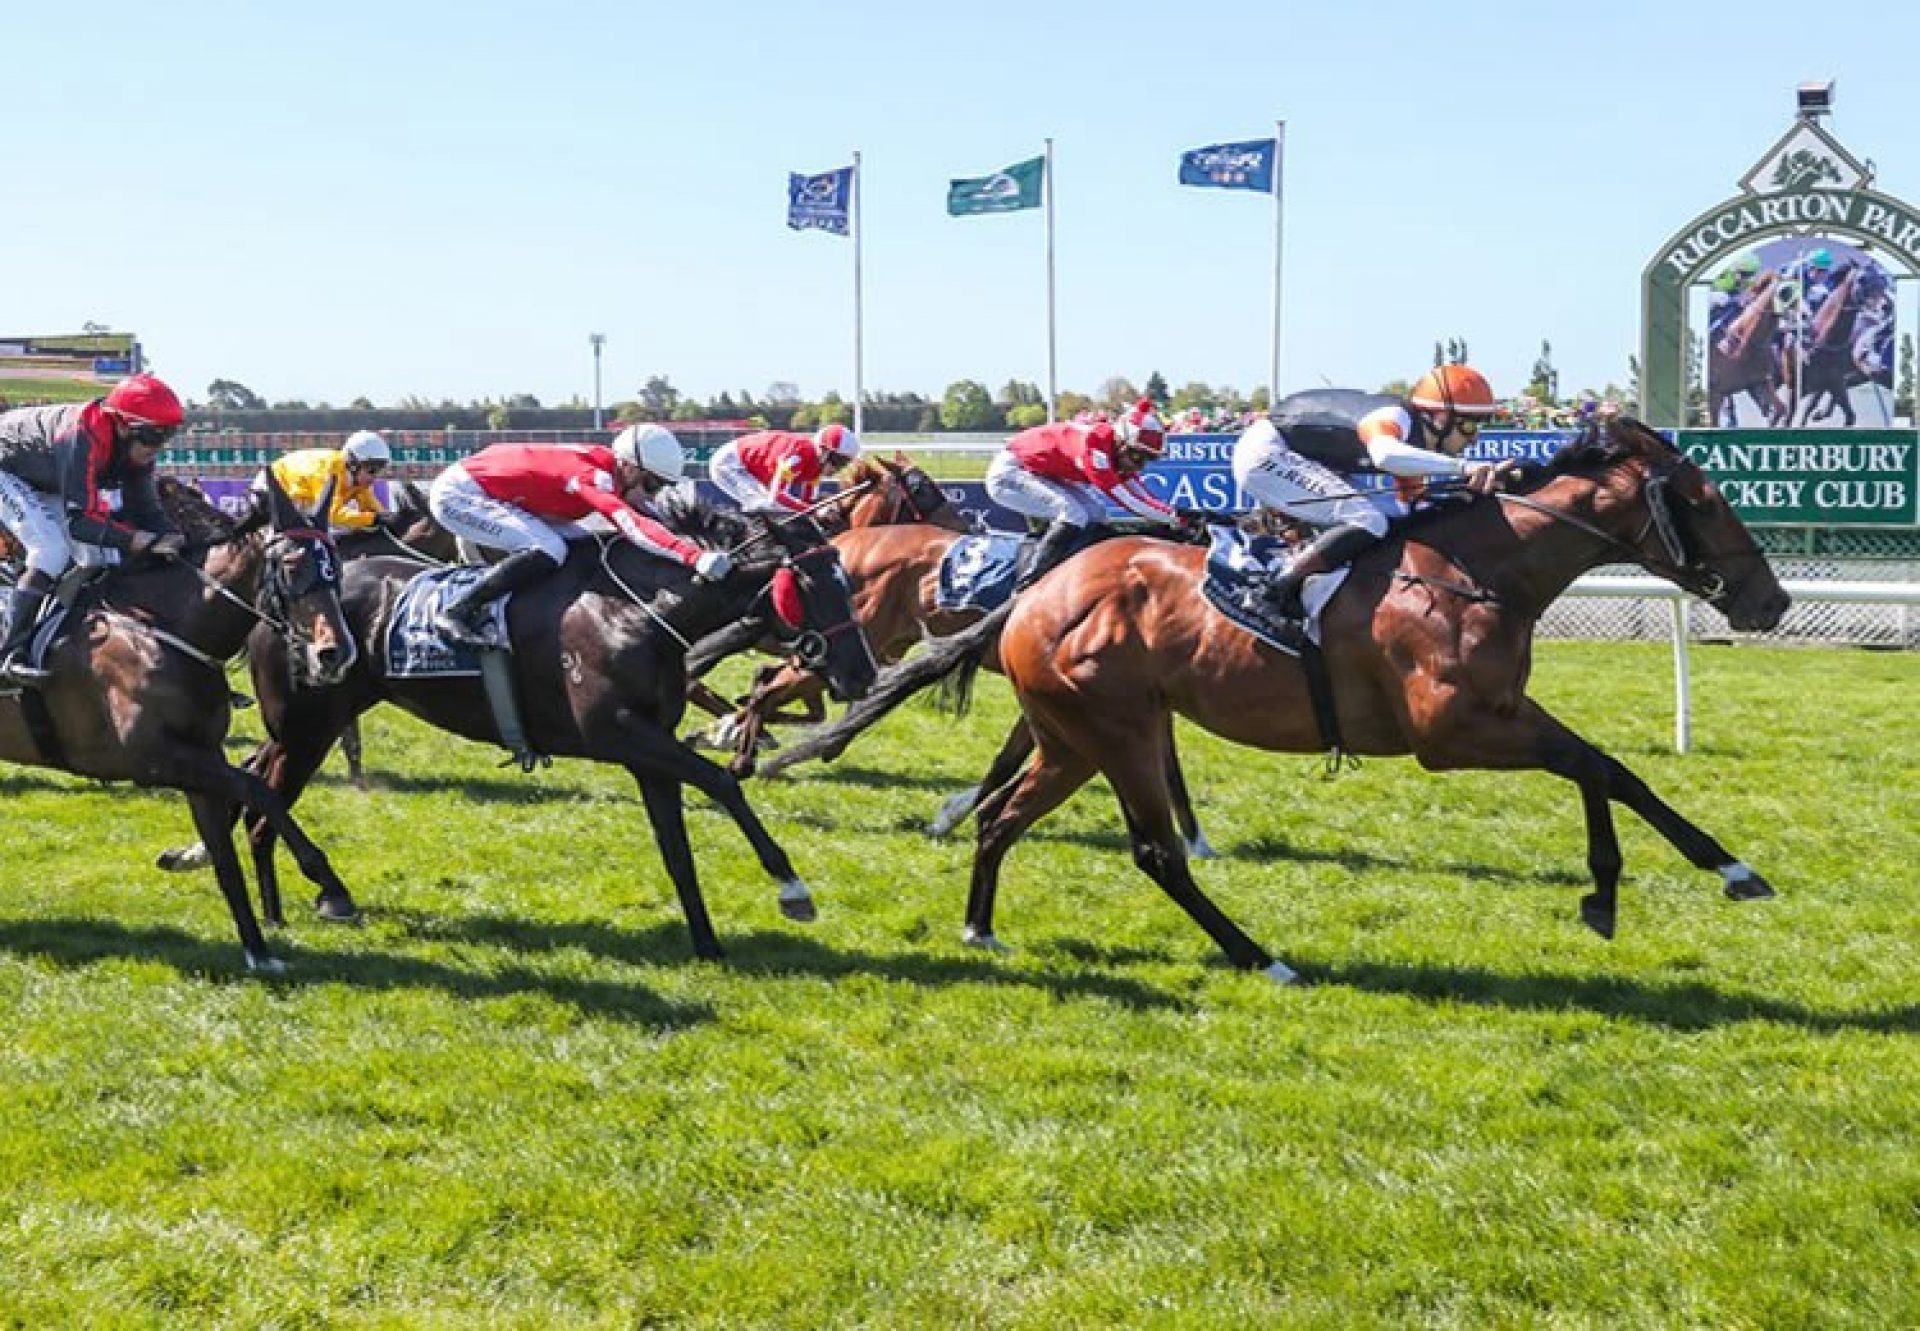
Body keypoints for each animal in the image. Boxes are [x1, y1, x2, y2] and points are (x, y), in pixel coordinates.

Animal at [0, 472, 357, 971]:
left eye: (336, 566)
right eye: (290, 565)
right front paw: (330, 885)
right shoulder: (151, 761)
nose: (335, 653)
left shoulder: (198, 760)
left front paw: (257, 951)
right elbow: (258, 788)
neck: (162, 629)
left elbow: (227, 856)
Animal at [189, 487, 879, 956]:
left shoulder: (647, 748)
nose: (862, 674)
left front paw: (707, 943)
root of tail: (276, 605)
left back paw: (270, 908)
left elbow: (677, 849)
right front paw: (791, 888)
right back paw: (304, 899)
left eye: (847, 577)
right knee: (263, 801)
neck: (637, 609)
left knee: (255, 782)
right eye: (810, 584)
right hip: (306, 724)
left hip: (315, 723)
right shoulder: (618, 732)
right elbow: (722, 782)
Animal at [967, 420, 1789, 979]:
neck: (1477, 571)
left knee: (1000, 816)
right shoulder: (1450, 733)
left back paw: (980, 928)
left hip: (1072, 740)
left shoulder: (1502, 709)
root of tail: (1035, 592)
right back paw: (1263, 958)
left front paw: (1721, 869)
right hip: (1122, 731)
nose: (1773, 601)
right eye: (1704, 501)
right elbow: (1588, 766)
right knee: (1156, 853)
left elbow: (1613, 770)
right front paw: (1613, 889)